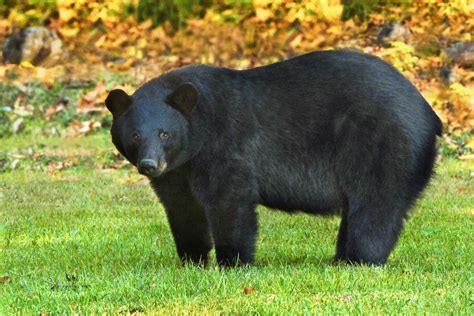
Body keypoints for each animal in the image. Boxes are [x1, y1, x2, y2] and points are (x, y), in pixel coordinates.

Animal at [105, 50, 442, 266]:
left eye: (165, 133)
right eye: (135, 136)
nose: (150, 165)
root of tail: (428, 111)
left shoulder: (224, 145)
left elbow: (229, 200)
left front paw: (233, 262)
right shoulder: (179, 171)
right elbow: (183, 208)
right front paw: (192, 259)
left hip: (383, 142)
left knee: (375, 205)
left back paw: (359, 260)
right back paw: (340, 259)